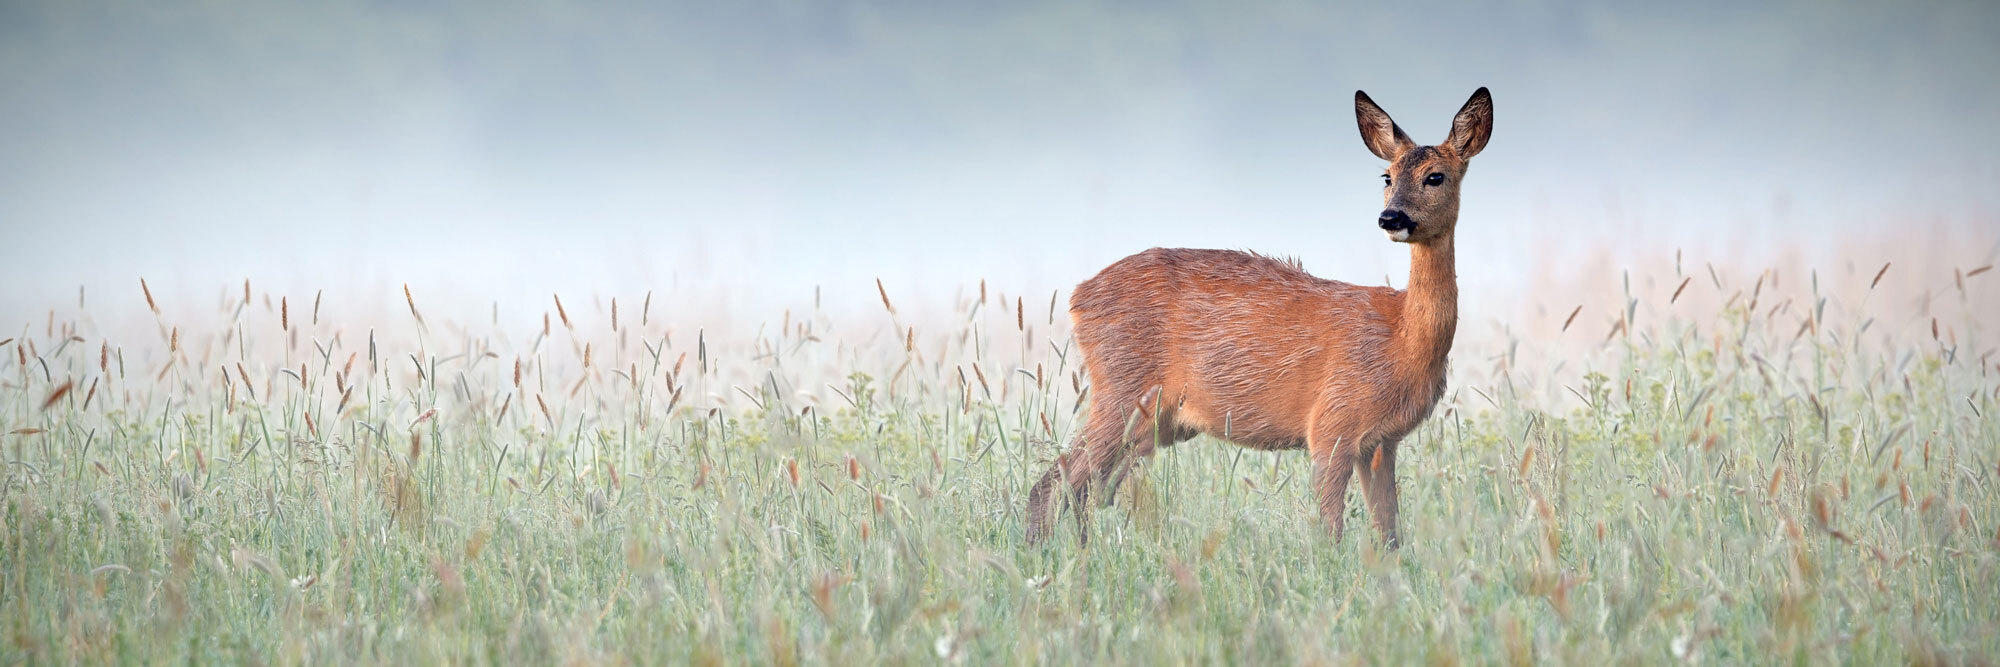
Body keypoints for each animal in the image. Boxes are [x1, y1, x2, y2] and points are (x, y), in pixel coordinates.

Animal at [1024, 87, 1496, 547]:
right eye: (1387, 176)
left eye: (1435, 176)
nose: (1390, 217)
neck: (1402, 338)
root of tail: (1077, 297)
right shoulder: (1332, 422)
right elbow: (1330, 531)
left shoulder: (1381, 441)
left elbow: (1390, 536)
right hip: (1122, 391)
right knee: (1051, 486)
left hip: (1154, 422)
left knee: (1082, 492)